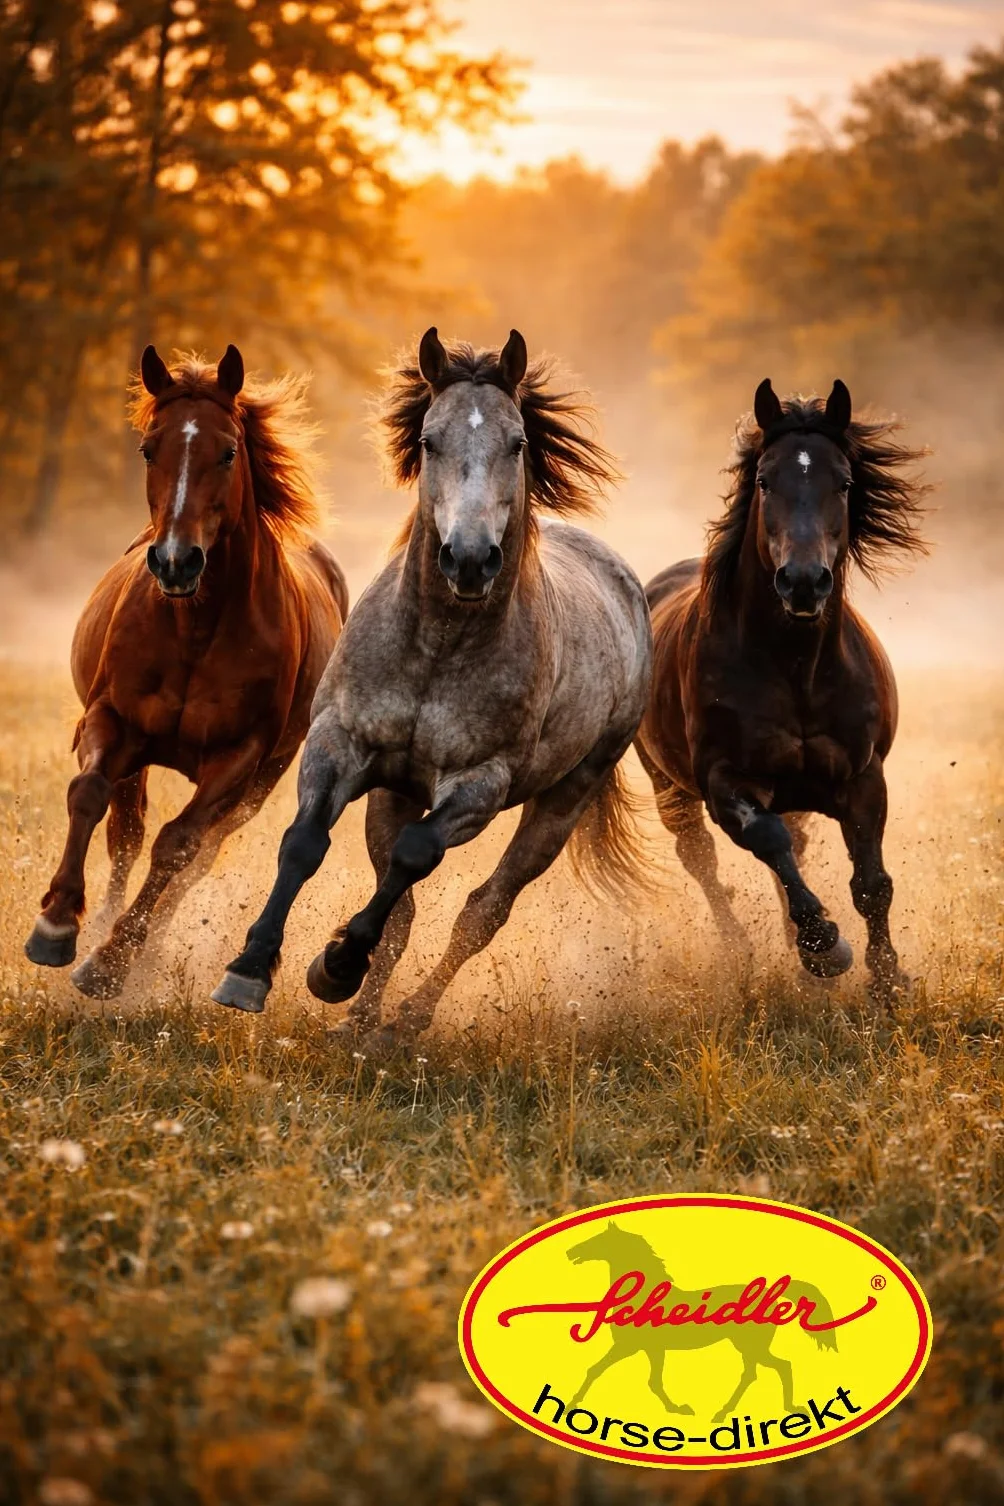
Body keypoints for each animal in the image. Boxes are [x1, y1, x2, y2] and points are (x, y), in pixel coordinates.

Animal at [24, 344, 347, 998]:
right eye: (150, 448)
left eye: (228, 451)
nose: (176, 561)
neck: (194, 625)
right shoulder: (111, 720)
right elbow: (89, 796)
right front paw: (57, 924)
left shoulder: (240, 758)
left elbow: (178, 847)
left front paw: (113, 960)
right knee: (126, 834)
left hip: (260, 783)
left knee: (198, 854)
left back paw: (142, 948)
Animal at [211, 327, 653, 1053]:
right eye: (428, 440)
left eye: (517, 443)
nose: (469, 560)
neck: (438, 648)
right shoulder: (339, 743)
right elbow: (304, 845)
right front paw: (249, 972)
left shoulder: (479, 785)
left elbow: (417, 857)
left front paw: (335, 966)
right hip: (393, 791)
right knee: (404, 910)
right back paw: (359, 1022)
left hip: (565, 797)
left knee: (481, 911)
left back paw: (401, 1021)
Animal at [565, 1221, 837, 1423]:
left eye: (598, 1240)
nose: (570, 1252)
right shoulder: (652, 1349)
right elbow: (652, 1382)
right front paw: (679, 1409)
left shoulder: (630, 1346)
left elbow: (598, 1371)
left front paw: (570, 1406)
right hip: (749, 1347)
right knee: (757, 1373)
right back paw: (726, 1413)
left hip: (751, 1346)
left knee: (779, 1367)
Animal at [635, 378, 927, 1003]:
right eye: (766, 479)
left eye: (844, 482)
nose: (803, 582)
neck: (796, 668)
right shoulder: (724, 782)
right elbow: (766, 839)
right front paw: (825, 948)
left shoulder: (864, 779)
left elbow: (871, 883)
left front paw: (888, 980)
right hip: (668, 786)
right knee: (703, 858)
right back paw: (745, 948)